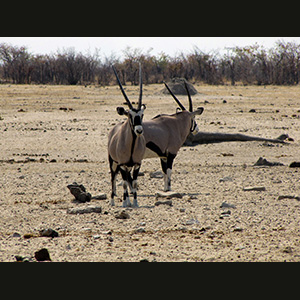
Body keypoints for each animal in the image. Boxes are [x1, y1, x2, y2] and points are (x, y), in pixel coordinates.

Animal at [108, 64, 146, 207]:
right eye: (130, 115)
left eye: (142, 115)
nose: (139, 130)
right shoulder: (122, 164)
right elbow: (124, 183)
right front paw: (125, 203)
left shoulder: (137, 164)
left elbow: (134, 182)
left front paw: (135, 202)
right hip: (113, 163)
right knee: (113, 178)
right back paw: (113, 201)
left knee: (127, 180)